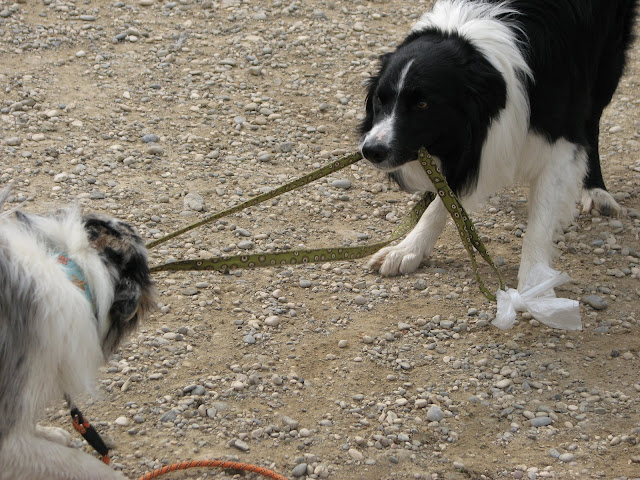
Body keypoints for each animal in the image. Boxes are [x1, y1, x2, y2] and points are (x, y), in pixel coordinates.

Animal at [359, 0, 637, 289]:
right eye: (380, 99)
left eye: (423, 104)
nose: (371, 151)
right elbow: (445, 196)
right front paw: (407, 248)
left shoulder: (560, 138)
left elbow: (541, 217)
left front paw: (534, 283)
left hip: (607, 61)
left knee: (592, 121)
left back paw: (596, 190)